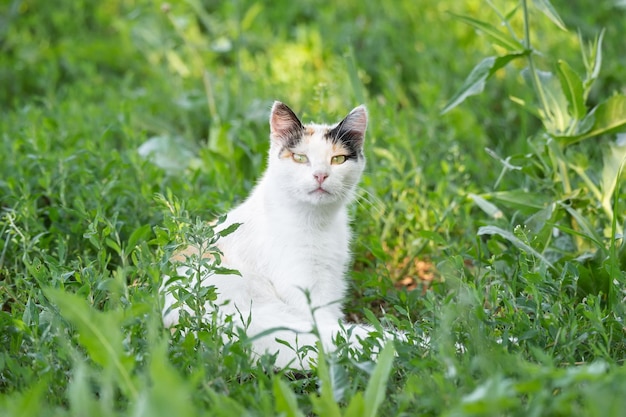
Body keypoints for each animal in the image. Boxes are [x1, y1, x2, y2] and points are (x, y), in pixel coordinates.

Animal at [161, 101, 390, 368]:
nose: (321, 175)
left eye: (338, 159)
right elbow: (330, 326)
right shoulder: (305, 290)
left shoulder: (331, 279)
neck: (317, 222)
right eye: (300, 158)